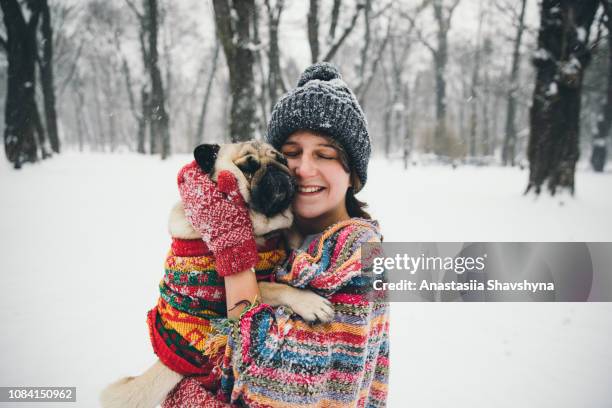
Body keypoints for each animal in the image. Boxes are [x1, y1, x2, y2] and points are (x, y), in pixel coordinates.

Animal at [103, 141, 338, 408]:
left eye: (283, 160)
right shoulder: (228, 293)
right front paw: (311, 303)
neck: (260, 234)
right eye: (248, 167)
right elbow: (276, 287)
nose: (276, 170)